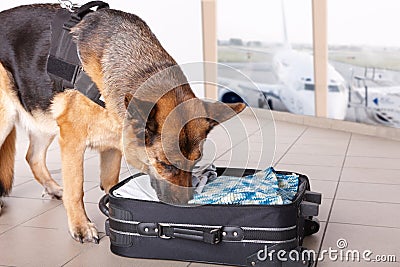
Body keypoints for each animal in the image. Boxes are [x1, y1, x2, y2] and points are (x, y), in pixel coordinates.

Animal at [0, 3, 244, 244]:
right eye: (164, 165)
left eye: (195, 162)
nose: (184, 207)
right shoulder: (72, 140)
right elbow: (76, 188)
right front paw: (80, 226)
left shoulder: (113, 144)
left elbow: (110, 181)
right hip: (7, 120)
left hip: (40, 112)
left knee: (32, 157)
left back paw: (52, 188)